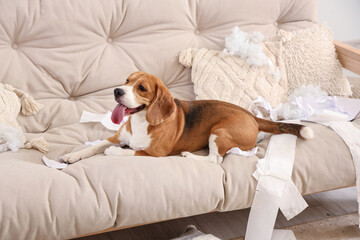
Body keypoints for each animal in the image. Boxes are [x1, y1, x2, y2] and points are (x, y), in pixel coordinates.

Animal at [60, 71, 314, 163]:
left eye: (141, 88)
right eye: (127, 80)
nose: (117, 91)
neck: (142, 121)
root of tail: (251, 116)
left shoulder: (154, 153)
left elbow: (124, 151)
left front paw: (112, 153)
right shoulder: (118, 137)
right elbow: (96, 146)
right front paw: (73, 155)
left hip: (218, 132)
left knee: (215, 160)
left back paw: (189, 155)